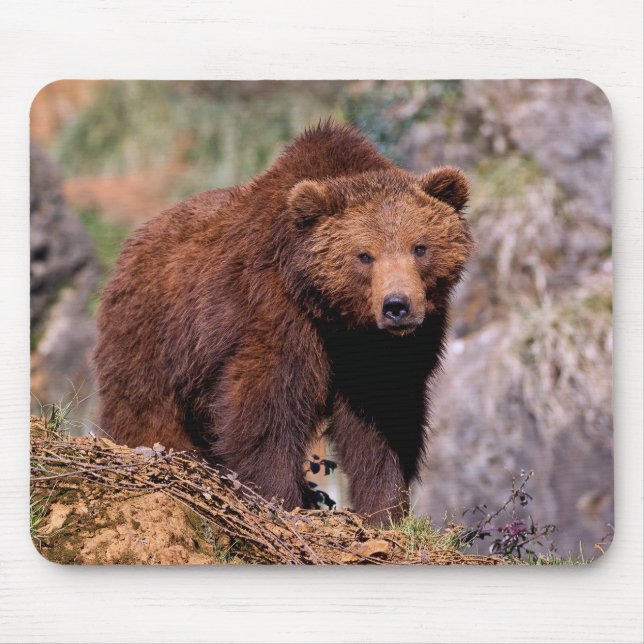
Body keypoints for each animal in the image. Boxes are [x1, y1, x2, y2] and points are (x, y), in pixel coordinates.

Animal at [95, 122, 473, 523]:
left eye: (420, 247)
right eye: (364, 255)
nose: (397, 306)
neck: (337, 316)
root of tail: (134, 240)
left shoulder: (393, 346)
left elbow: (383, 419)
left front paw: (383, 509)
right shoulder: (274, 312)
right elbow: (266, 409)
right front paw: (281, 497)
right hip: (154, 329)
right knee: (145, 403)